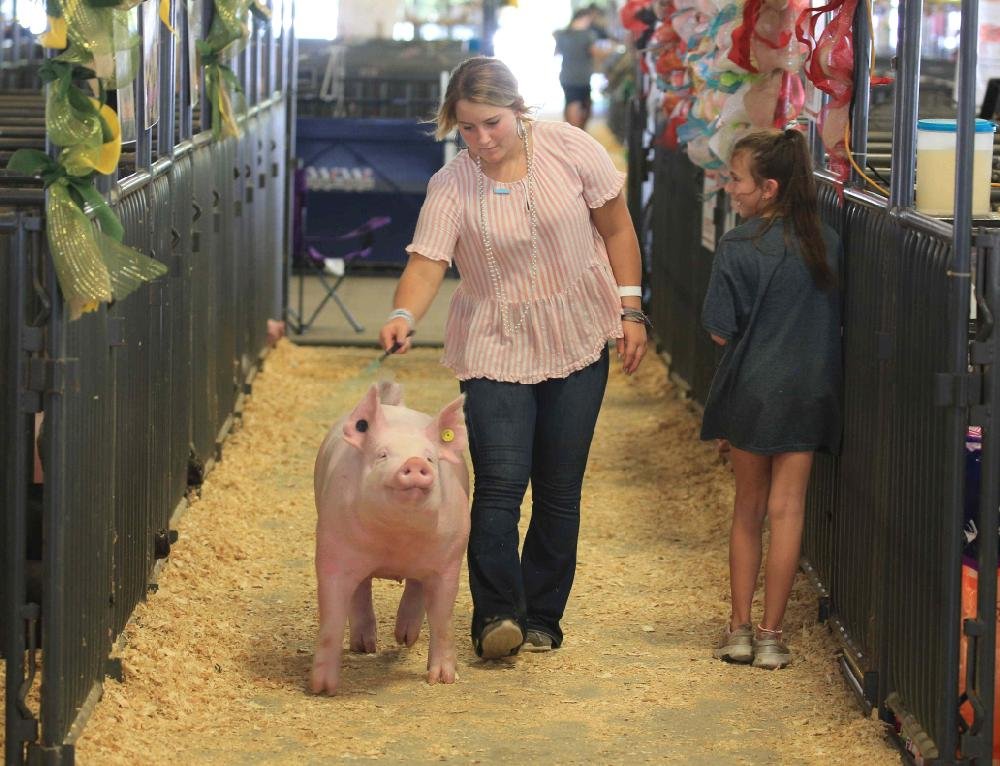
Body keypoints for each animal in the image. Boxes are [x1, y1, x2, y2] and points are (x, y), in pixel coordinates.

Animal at [310, 384, 470, 696]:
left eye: (430, 458)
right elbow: (332, 615)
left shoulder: (450, 560)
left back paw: (405, 638)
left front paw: (442, 680)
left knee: (416, 586)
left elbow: (442, 617)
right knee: (362, 588)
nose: (415, 463)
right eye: (382, 455)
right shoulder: (332, 551)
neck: (397, 540)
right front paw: (322, 688)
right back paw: (365, 646)